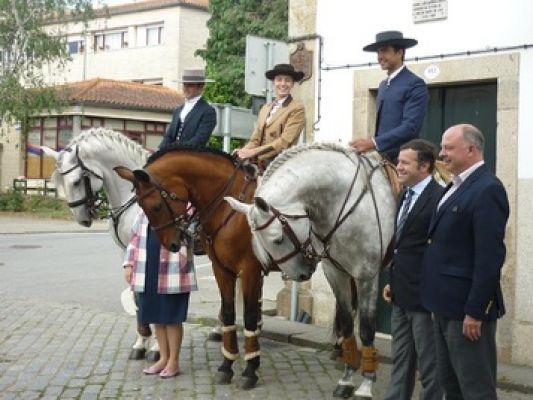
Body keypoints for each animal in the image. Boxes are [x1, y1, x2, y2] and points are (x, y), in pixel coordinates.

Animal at [116, 145, 266, 390]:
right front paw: (226, 366)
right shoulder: (221, 269)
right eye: (141, 207)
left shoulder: (250, 269)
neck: (229, 206)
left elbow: (250, 315)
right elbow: (229, 312)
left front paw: (250, 370)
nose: (172, 245)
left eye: (156, 205)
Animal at [224, 142, 394, 398]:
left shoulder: (367, 276)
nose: (300, 276)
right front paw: (346, 380)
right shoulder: (336, 273)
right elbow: (347, 325)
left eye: (277, 239)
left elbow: (366, 329)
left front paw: (366, 384)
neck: (345, 204)